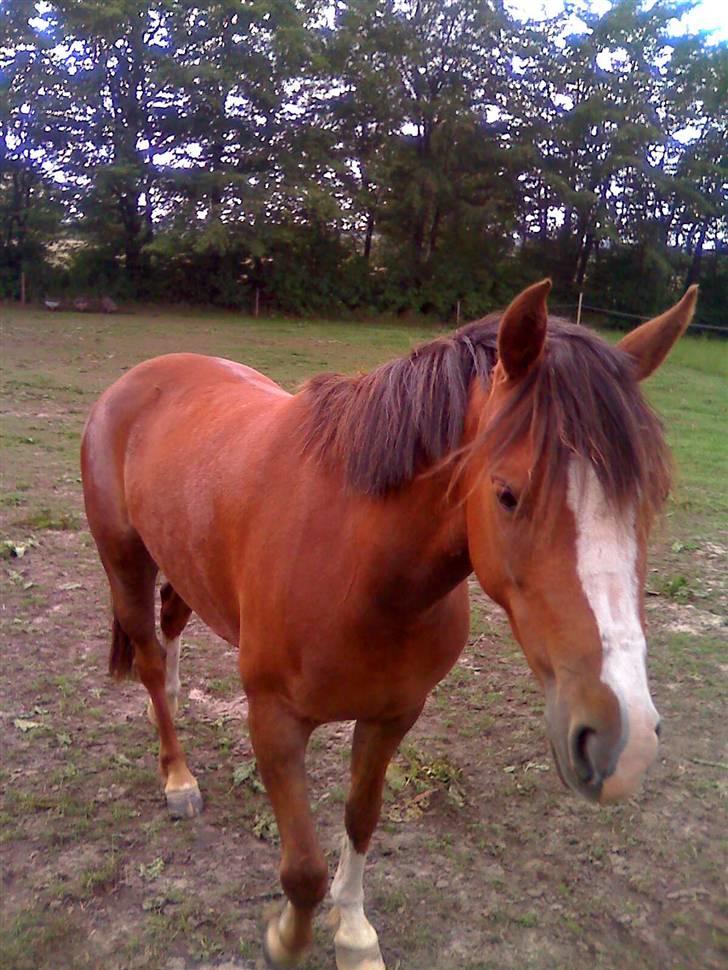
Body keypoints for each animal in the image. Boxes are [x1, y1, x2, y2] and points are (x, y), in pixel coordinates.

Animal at [81, 280, 697, 970]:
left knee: (171, 626)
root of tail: (140, 377)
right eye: (508, 493)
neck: (360, 565)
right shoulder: (273, 721)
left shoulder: (394, 714)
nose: (625, 743)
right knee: (147, 658)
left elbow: (361, 816)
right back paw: (177, 776)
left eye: (648, 501)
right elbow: (303, 870)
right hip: (125, 562)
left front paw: (353, 933)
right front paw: (287, 940)